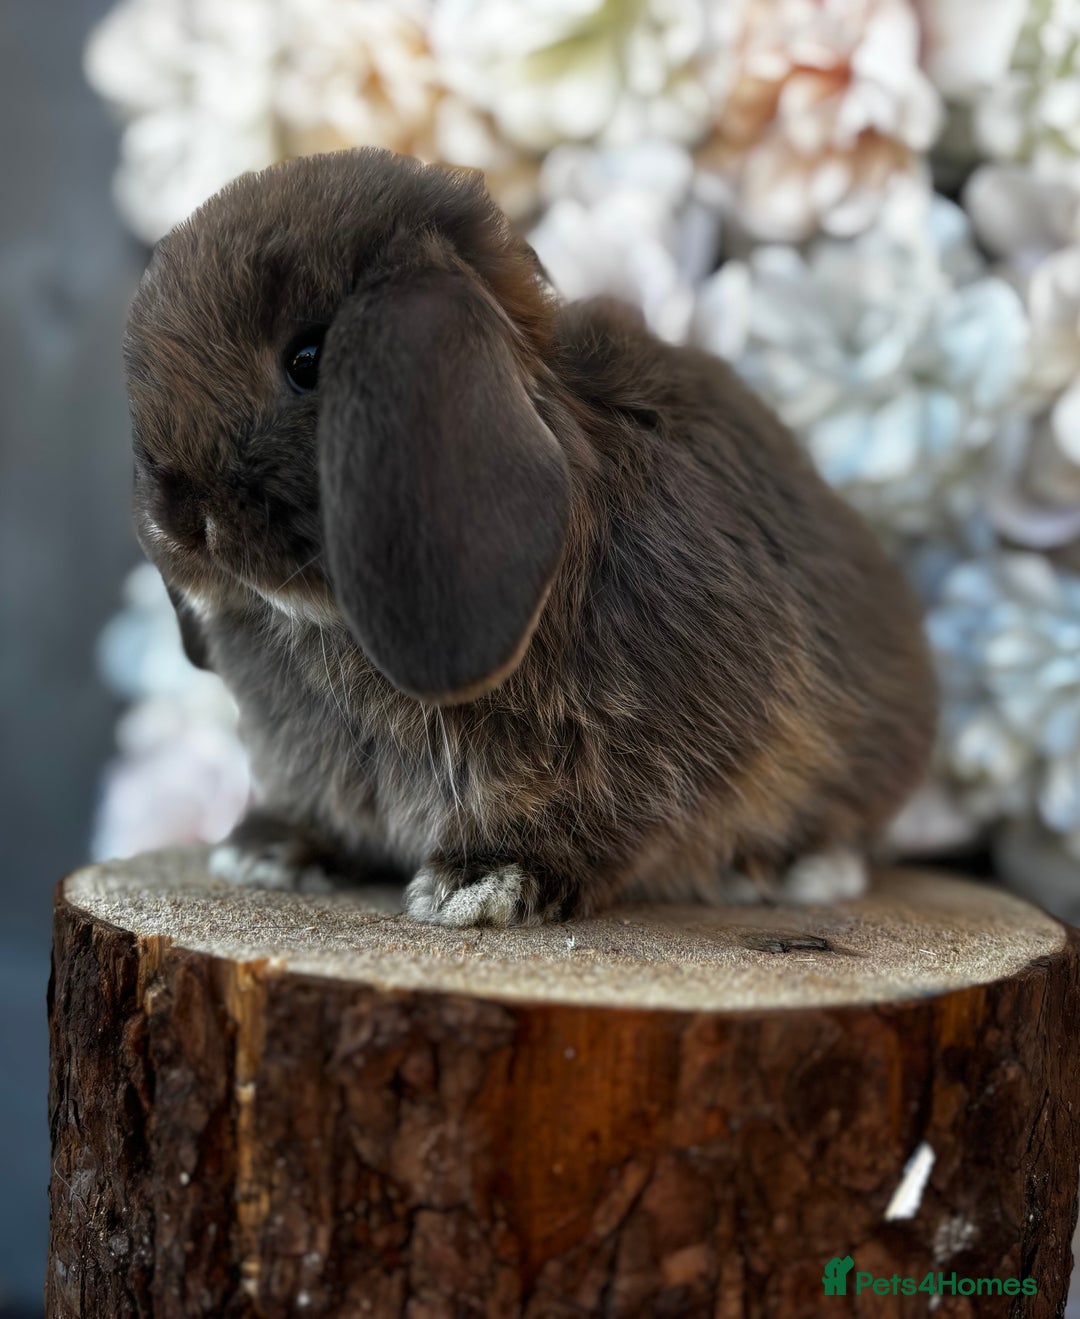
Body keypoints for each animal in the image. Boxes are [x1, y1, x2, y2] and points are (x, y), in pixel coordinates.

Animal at [124, 147, 937, 927]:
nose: (183, 519)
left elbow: (605, 816)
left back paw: (787, 871)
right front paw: (267, 851)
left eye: (308, 360)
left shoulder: (649, 746)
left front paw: (484, 883)